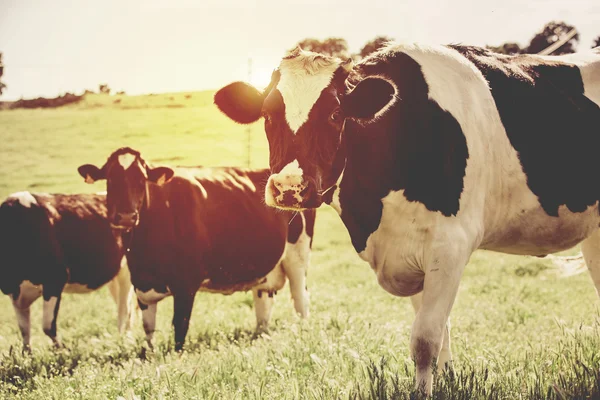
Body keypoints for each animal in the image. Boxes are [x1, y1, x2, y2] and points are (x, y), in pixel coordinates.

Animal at [0, 191, 134, 350]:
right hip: (114, 276)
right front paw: (26, 354)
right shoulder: (14, 293)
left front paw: (63, 351)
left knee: (124, 308)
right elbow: (24, 330)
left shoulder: (55, 279)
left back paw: (121, 340)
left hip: (127, 272)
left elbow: (48, 327)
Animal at [77, 147, 316, 350]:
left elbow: (179, 330)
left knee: (301, 300)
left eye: (141, 179)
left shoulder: (186, 285)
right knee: (263, 306)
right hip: (266, 272)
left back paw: (303, 333)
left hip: (297, 258)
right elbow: (148, 332)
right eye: (110, 179)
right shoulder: (142, 287)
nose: (126, 216)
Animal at [216, 43, 600, 394]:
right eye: (267, 116)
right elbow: (441, 331)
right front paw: (446, 382)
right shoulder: (411, 251)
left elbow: (425, 338)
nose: (289, 188)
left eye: (335, 114)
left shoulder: (450, 246)